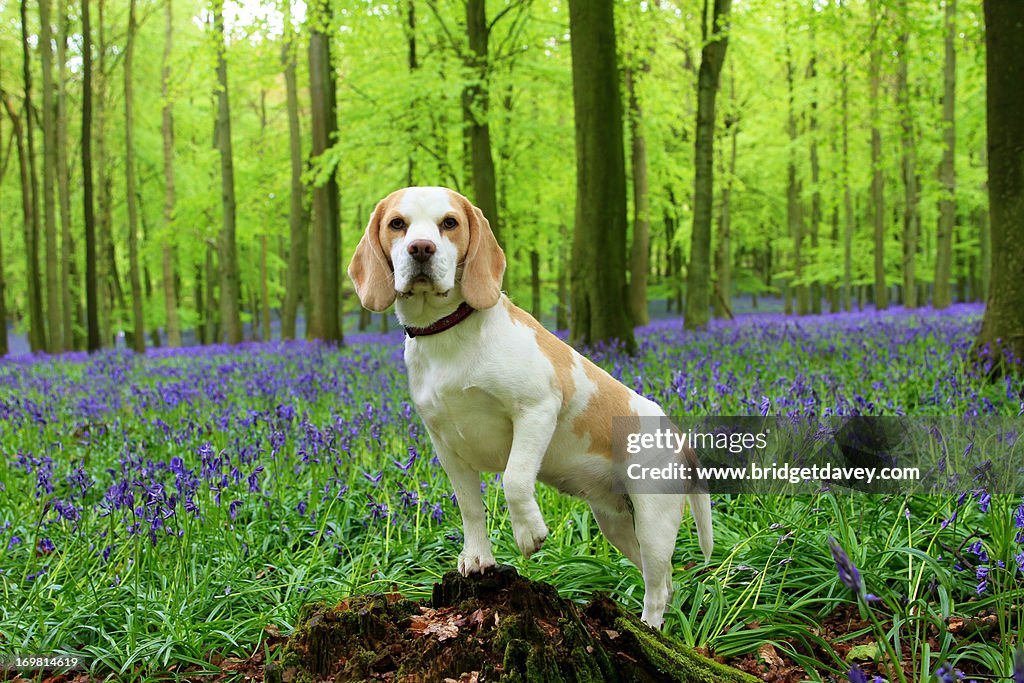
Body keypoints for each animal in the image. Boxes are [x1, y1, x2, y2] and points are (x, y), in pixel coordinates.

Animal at [344, 184, 712, 626]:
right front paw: (477, 557)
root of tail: (677, 435)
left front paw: (528, 533)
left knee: (658, 589)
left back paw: (649, 628)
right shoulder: (446, 446)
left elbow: (514, 479)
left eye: (449, 222)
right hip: (616, 524)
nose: (421, 248)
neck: (448, 334)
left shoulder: (536, 410)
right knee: (664, 581)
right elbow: (470, 507)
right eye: (397, 224)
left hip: (654, 522)